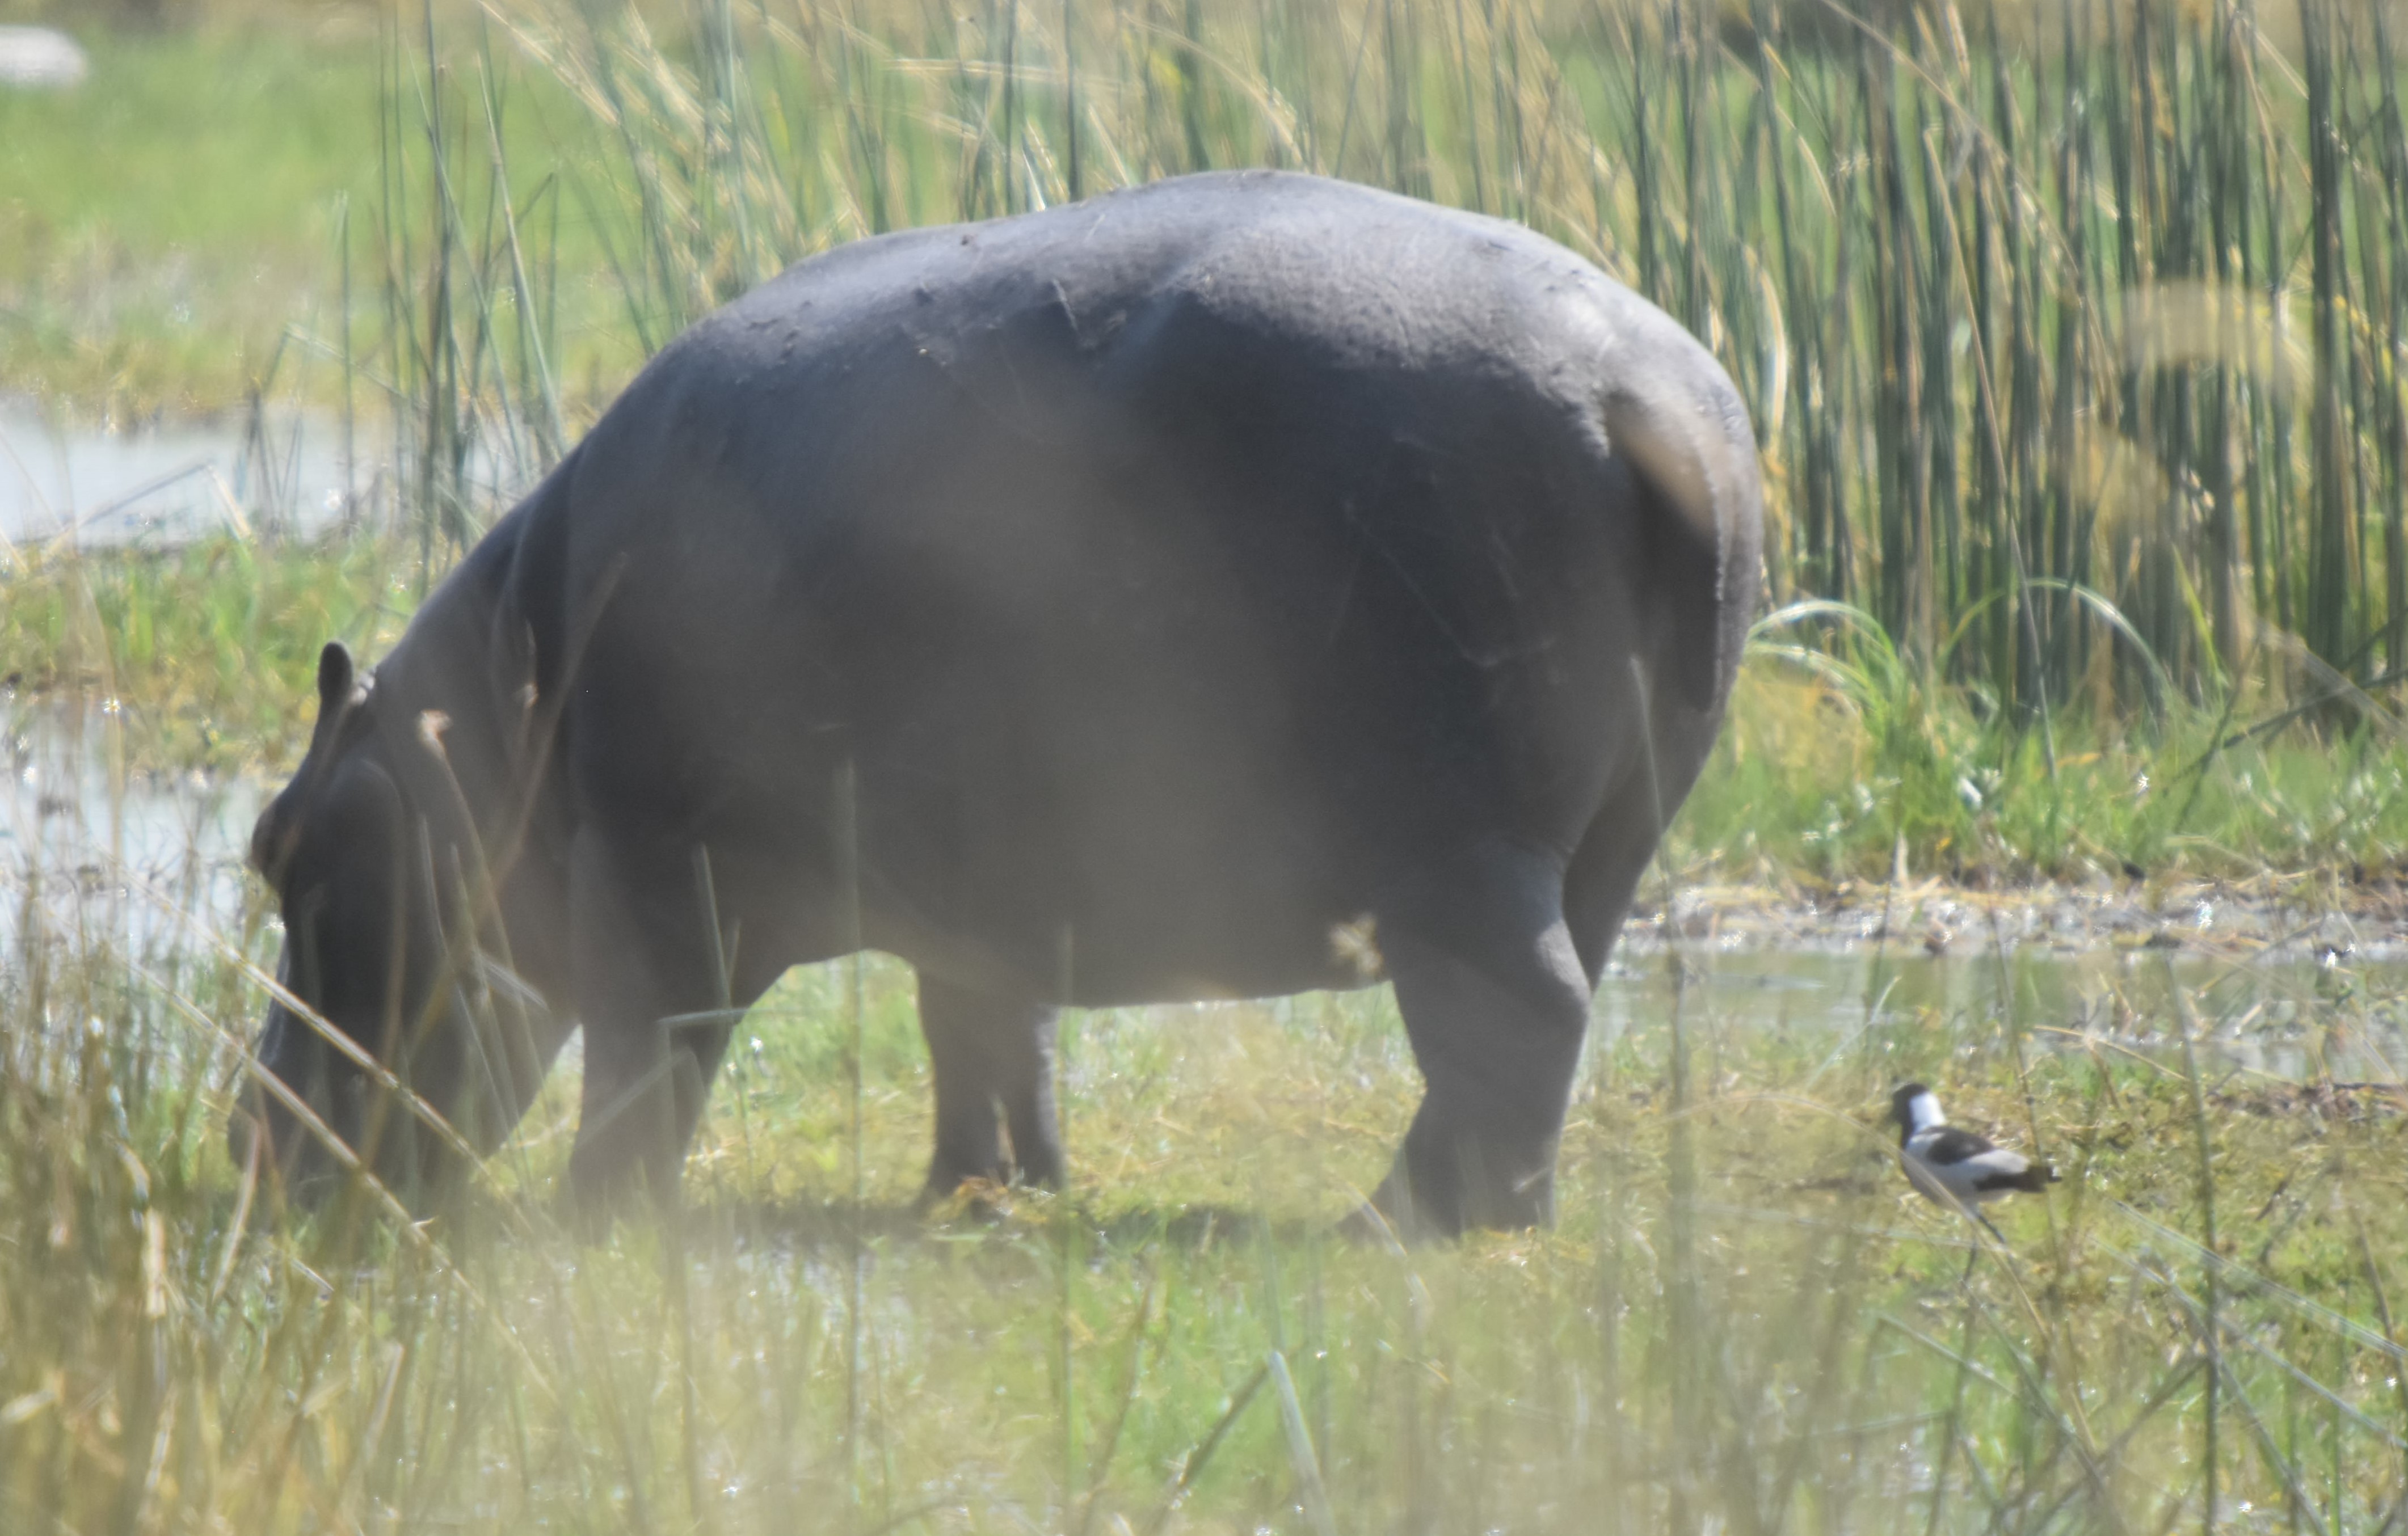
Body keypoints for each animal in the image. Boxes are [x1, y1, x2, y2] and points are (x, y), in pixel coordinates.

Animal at [234, 171, 1762, 1242]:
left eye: (278, 847)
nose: (251, 1138)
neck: (490, 726)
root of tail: (1648, 392)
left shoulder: (654, 862)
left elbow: (647, 1045)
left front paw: (593, 1216)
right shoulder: (982, 884)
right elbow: (983, 1032)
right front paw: (983, 1197)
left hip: (1455, 850)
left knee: (1519, 1016)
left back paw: (1395, 1226)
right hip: (1610, 834)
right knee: (1546, 1019)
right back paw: (1464, 1212)